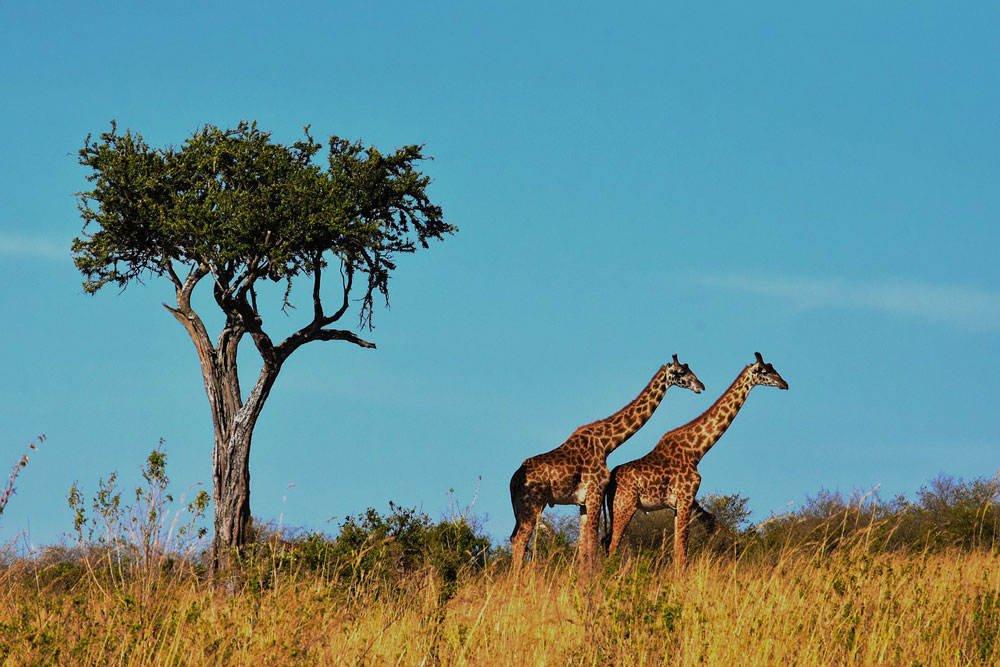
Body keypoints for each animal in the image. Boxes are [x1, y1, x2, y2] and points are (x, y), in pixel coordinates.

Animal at [508, 354, 704, 576]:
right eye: (680, 372)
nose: (700, 386)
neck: (606, 444)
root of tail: (512, 481)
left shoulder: (583, 502)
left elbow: (584, 546)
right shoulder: (595, 493)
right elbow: (592, 544)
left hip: (520, 508)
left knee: (514, 537)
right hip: (533, 504)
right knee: (520, 538)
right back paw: (517, 579)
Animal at [604, 350, 784, 576]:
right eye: (764, 371)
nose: (785, 383)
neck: (697, 450)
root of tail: (611, 481)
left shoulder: (680, 504)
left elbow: (680, 548)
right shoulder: (686, 498)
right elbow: (682, 551)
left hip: (615, 508)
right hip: (624, 505)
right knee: (612, 545)